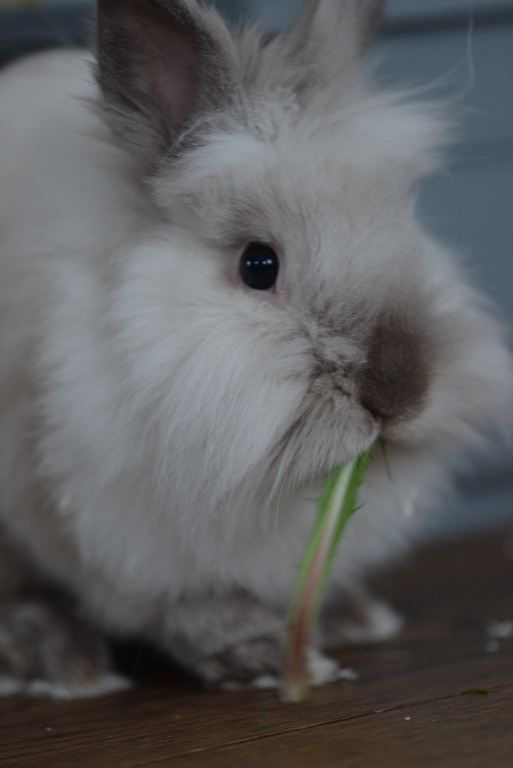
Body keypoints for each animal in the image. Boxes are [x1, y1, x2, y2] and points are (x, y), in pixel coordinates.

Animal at [0, 0, 511, 698]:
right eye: (258, 265)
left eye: (405, 227)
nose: (401, 394)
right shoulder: (97, 518)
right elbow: (177, 602)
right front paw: (257, 651)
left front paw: (341, 618)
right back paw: (59, 659)